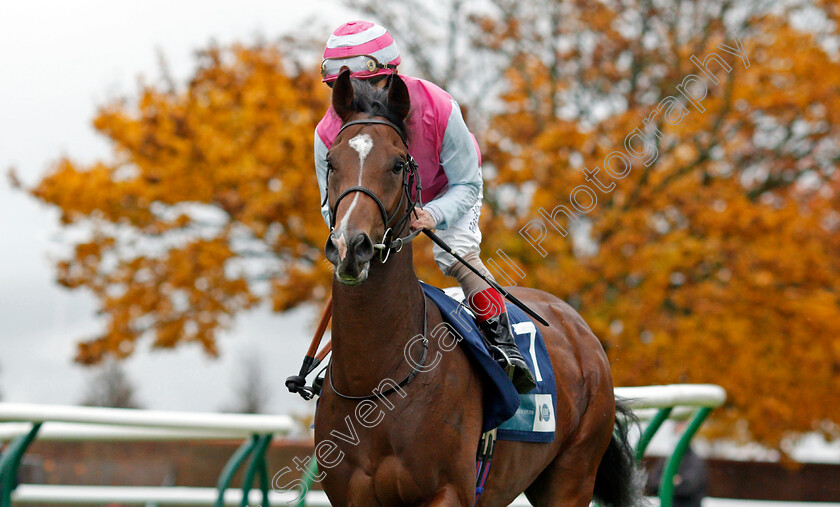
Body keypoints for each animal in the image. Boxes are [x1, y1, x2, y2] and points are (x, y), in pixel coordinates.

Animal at [312, 68, 640, 507]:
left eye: (398, 164)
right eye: (331, 163)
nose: (352, 246)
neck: (375, 382)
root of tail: (581, 331)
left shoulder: (449, 491)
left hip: (573, 473)